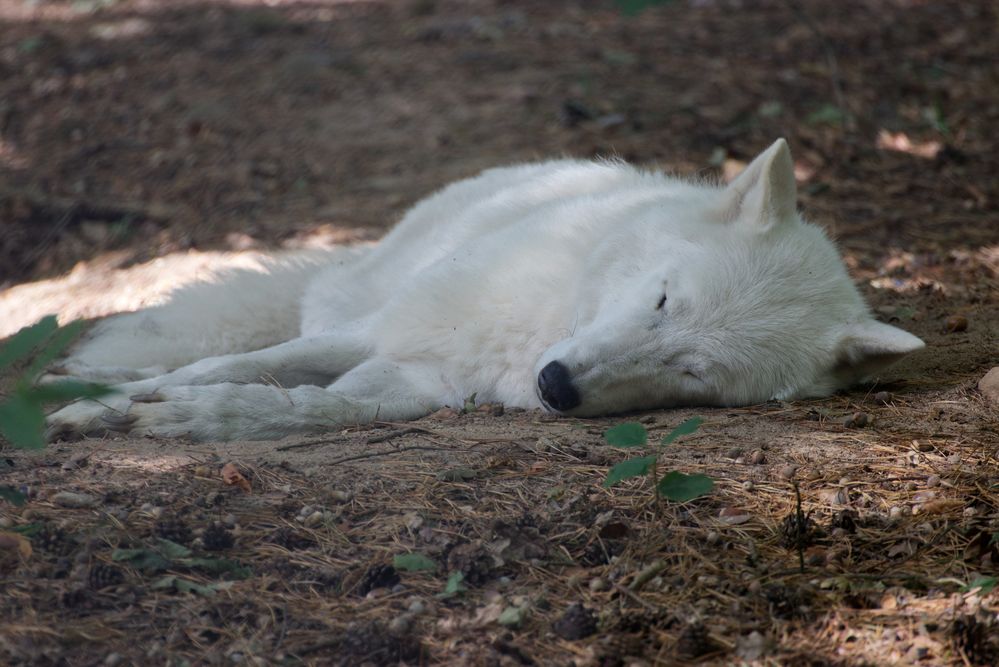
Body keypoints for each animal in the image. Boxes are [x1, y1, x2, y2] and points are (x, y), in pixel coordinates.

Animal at [45, 140, 920, 444]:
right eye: (663, 299)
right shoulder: (379, 334)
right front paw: (100, 408)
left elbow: (308, 407)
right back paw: (85, 374)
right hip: (358, 294)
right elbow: (212, 368)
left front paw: (203, 419)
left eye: (694, 373)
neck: (525, 340)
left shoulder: (418, 380)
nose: (556, 386)